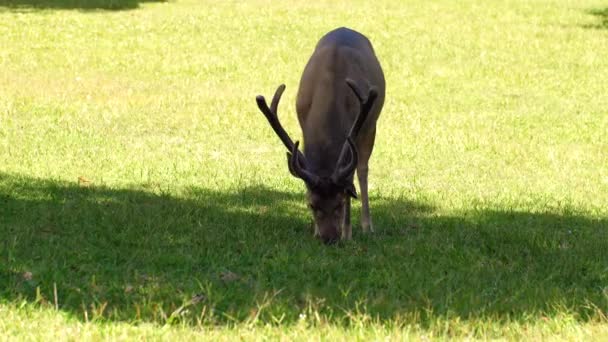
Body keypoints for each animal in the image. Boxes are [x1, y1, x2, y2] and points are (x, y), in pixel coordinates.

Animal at [255, 28, 384, 244]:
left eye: (340, 203)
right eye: (311, 205)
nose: (329, 238)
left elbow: (351, 179)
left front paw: (347, 233)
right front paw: (315, 230)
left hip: (370, 126)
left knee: (362, 169)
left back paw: (367, 226)